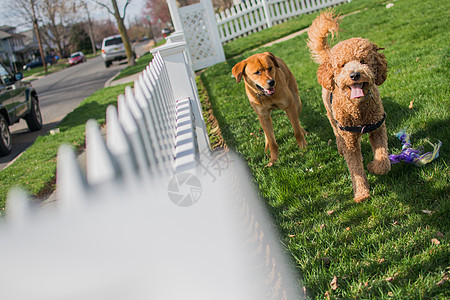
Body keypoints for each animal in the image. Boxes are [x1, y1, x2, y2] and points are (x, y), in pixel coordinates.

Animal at [306, 10, 390, 202]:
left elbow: (384, 162)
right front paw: (361, 194)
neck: (358, 109)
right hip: (331, 116)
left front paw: (373, 166)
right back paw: (339, 147)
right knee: (336, 132)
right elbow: (355, 169)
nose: (354, 75)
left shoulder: (378, 128)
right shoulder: (350, 141)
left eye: (363, 61)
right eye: (342, 65)